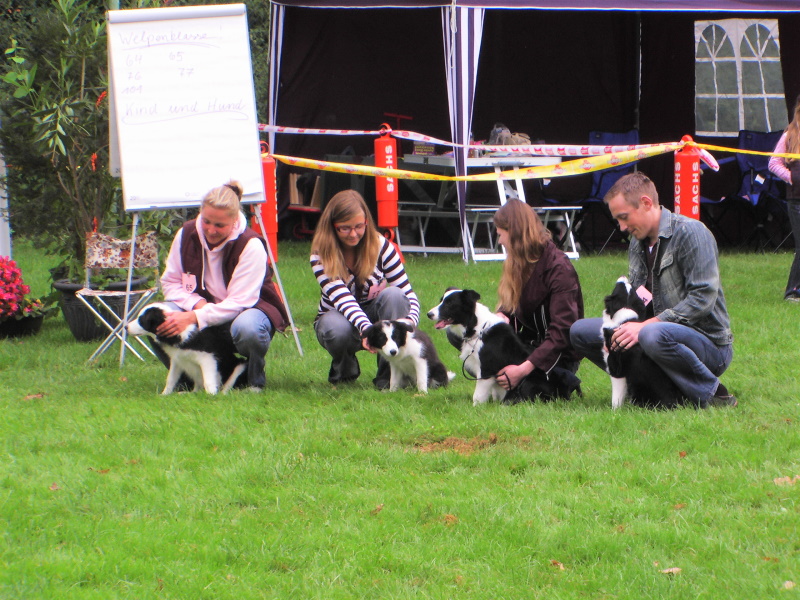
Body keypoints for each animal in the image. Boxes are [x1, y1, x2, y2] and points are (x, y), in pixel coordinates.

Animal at [428, 288, 580, 406]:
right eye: (441, 300)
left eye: (449, 304)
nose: (429, 314)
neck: (476, 327)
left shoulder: (486, 369)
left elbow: (478, 395)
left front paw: (476, 409)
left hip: (527, 381)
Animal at [604, 278, 684, 410]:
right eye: (630, 288)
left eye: (618, 287)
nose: (623, 277)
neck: (625, 310)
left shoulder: (615, 366)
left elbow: (616, 398)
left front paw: (614, 411)